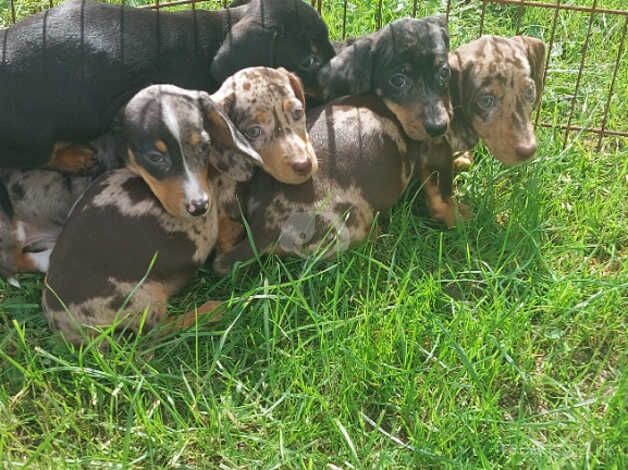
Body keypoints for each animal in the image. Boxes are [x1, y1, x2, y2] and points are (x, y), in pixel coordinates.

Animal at [41, 69, 314, 346]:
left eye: (297, 113)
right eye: (255, 131)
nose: (200, 207)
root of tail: (66, 328)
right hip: (144, 297)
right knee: (156, 333)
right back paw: (209, 311)